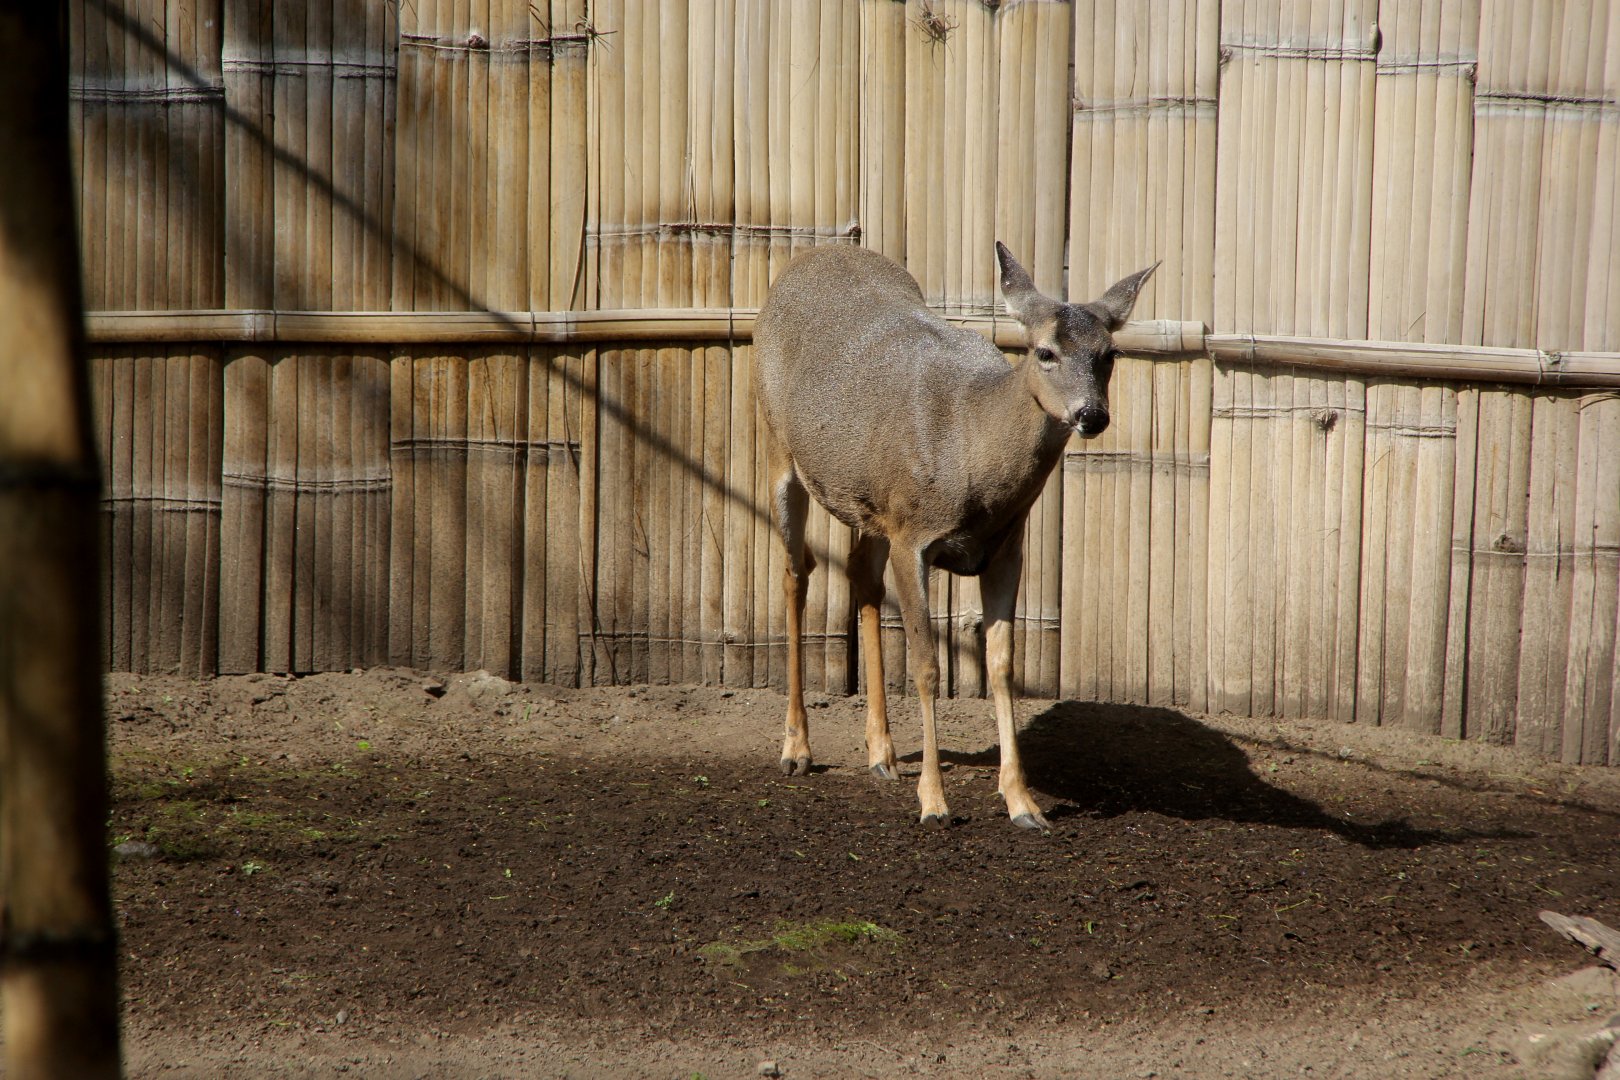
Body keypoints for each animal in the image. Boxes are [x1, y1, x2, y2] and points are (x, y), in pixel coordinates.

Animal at [752, 241, 1157, 830]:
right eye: (1045, 352)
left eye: (1110, 354)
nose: (1092, 414)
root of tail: (813, 254)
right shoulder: (913, 536)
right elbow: (926, 664)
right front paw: (935, 803)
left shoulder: (1004, 546)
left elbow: (1003, 664)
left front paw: (1023, 803)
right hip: (780, 450)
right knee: (795, 572)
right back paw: (797, 749)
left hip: (873, 504)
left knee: (859, 575)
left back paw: (882, 753)